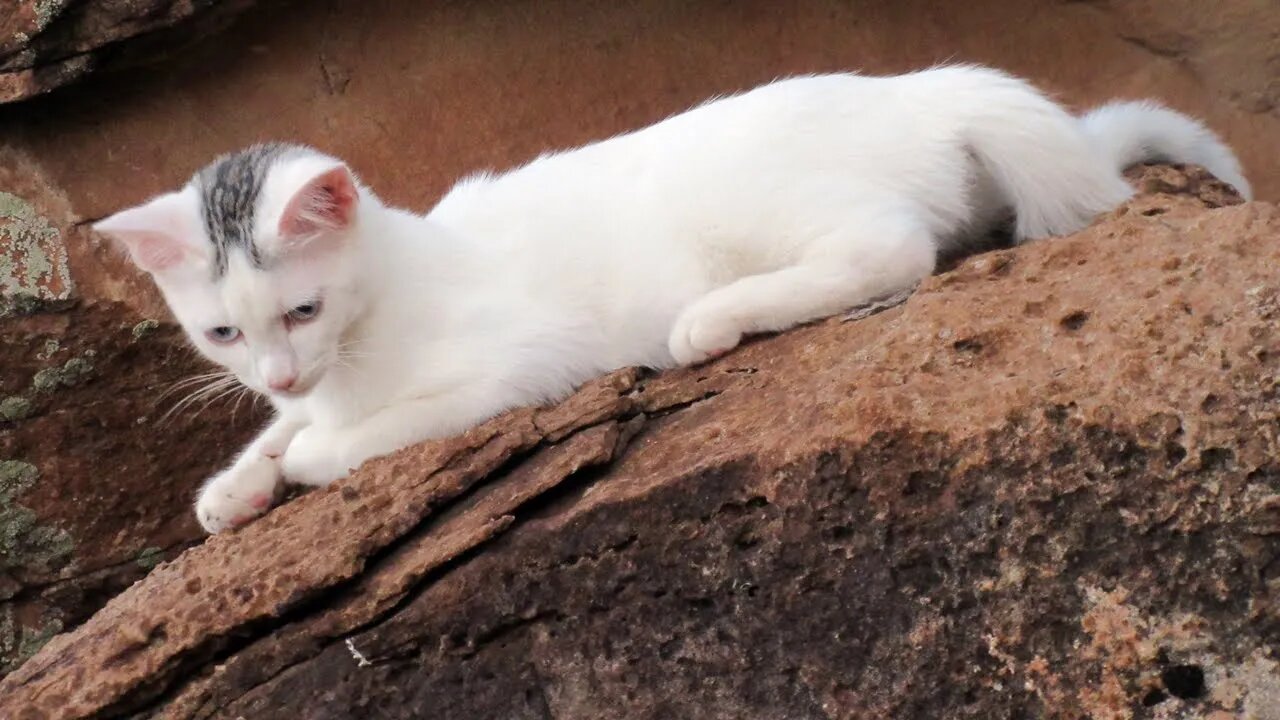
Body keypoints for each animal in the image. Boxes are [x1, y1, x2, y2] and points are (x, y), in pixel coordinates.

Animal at [92, 63, 1249, 532]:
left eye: (303, 310)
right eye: (223, 333)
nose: (282, 368)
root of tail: (924, 89)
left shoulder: (517, 362)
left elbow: (358, 439)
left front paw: (307, 459)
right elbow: (277, 431)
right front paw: (239, 483)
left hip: (766, 207)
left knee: (892, 249)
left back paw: (714, 318)